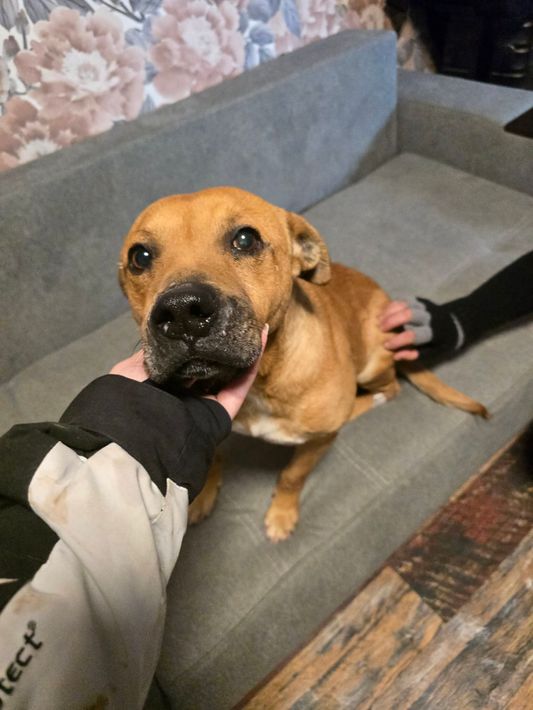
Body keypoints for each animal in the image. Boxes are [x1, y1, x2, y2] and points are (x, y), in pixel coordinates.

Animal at [119, 187, 487, 542]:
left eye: (245, 239)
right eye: (140, 257)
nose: (182, 312)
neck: (262, 380)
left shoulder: (315, 446)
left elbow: (292, 476)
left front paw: (281, 515)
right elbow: (216, 455)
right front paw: (205, 494)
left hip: (372, 365)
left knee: (389, 390)